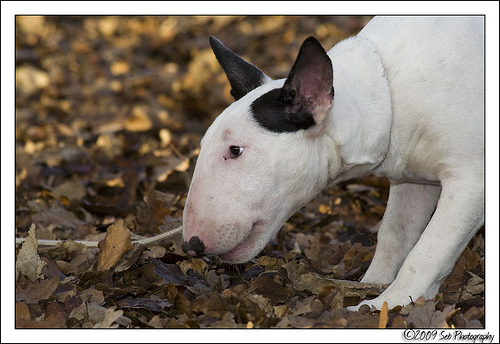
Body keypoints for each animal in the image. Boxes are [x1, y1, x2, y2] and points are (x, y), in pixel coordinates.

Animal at [181, 16, 484, 312]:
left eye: (235, 150)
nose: (190, 245)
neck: (385, 92)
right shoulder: (411, 179)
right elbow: (395, 233)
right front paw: (373, 286)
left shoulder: (471, 182)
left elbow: (430, 249)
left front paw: (390, 303)